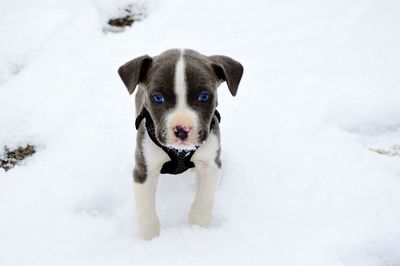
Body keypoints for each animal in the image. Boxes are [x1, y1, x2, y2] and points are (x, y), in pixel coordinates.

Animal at [118, 49, 244, 239]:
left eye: (204, 96)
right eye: (158, 98)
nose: (182, 130)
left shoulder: (211, 165)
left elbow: (203, 201)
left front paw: (196, 230)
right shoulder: (144, 170)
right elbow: (147, 213)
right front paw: (150, 239)